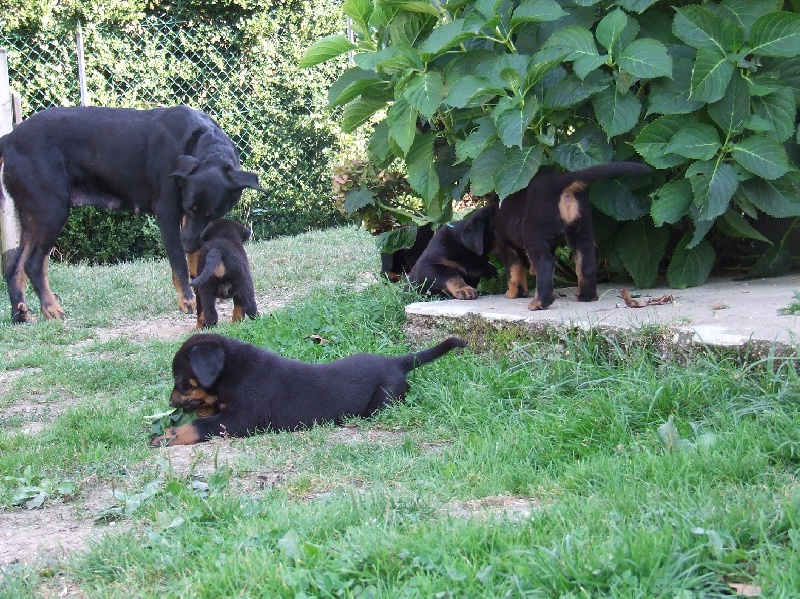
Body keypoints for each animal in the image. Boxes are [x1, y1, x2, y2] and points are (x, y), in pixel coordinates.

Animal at [0, 106, 264, 324]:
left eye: (213, 214)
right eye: (190, 207)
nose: (189, 243)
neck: (199, 142)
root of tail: (9, 139)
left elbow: (194, 255)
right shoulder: (168, 213)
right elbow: (178, 261)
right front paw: (187, 300)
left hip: (32, 216)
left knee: (15, 268)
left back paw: (21, 315)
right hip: (51, 211)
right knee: (34, 264)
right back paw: (51, 309)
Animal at [150, 332, 466, 446]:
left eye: (179, 378)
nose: (171, 401)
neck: (234, 371)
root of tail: (395, 362)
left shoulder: (243, 420)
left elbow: (201, 425)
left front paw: (170, 434)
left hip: (383, 399)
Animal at [496, 164, 652, 314]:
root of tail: (558, 181)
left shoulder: (506, 246)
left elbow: (513, 273)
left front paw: (512, 294)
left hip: (533, 235)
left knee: (546, 264)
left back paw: (539, 303)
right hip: (581, 229)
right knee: (587, 262)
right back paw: (586, 295)